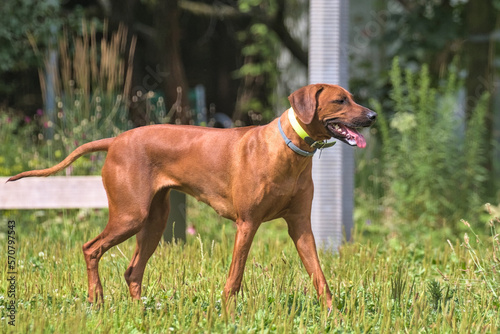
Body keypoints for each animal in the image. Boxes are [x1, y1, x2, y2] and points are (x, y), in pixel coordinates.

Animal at [7, 83, 376, 310]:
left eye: (353, 97)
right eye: (340, 101)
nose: (372, 116)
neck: (289, 150)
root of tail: (115, 139)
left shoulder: (300, 226)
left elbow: (320, 277)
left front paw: (333, 316)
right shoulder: (247, 223)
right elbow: (235, 278)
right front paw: (228, 316)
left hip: (154, 222)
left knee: (132, 271)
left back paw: (139, 314)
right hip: (130, 216)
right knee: (90, 248)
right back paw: (96, 300)